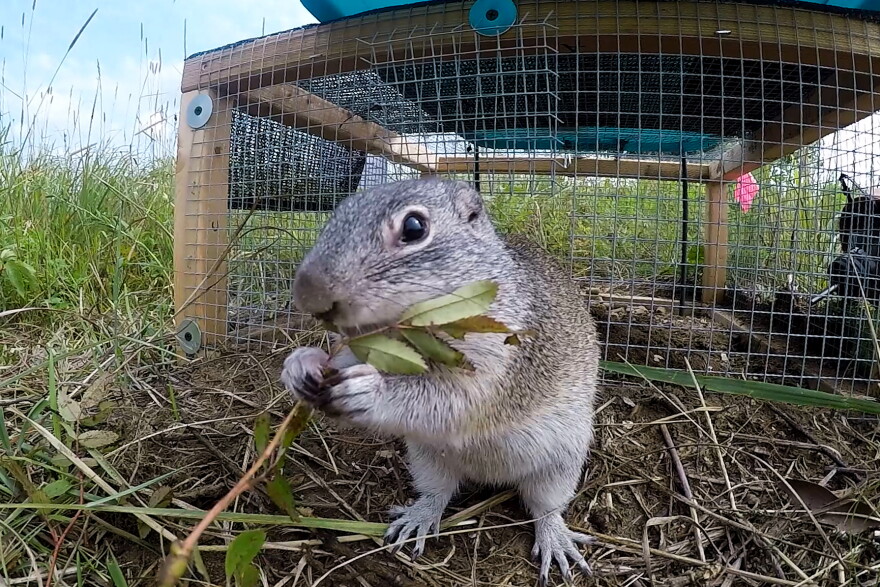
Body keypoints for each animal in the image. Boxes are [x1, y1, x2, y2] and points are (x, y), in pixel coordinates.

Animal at [280, 177, 601, 586]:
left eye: (414, 227)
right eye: (337, 213)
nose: (309, 296)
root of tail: (489, 477)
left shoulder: (497, 362)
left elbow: (449, 399)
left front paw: (370, 391)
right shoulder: (368, 345)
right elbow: (345, 359)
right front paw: (301, 364)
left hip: (559, 465)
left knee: (546, 508)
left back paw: (555, 539)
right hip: (427, 460)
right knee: (437, 493)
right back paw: (418, 518)